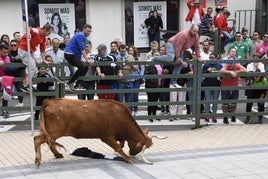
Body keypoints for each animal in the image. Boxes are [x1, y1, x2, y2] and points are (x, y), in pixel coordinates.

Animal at [33, 98, 161, 168]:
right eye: (140, 147)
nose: (133, 153)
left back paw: (57, 155)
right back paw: (38, 160)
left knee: (49, 142)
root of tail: (49, 101)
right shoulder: (106, 136)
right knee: (37, 139)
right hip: (54, 131)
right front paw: (127, 158)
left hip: (51, 132)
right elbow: (118, 147)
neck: (119, 117)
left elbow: (121, 143)